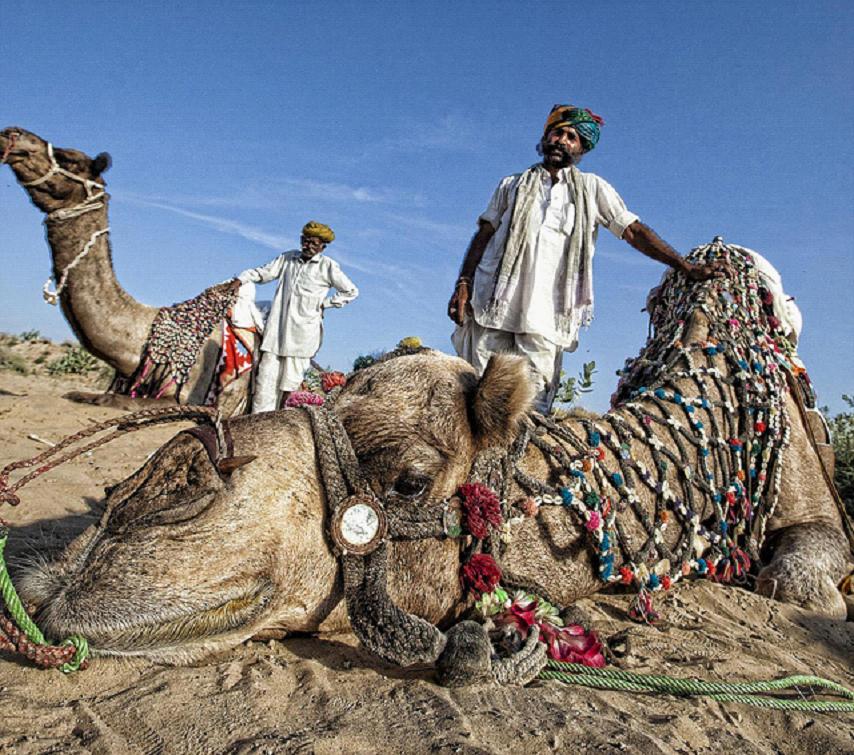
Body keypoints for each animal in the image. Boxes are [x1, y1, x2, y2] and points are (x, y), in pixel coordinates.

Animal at [0, 127, 254, 416]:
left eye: (68, 159)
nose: (11, 133)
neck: (140, 340)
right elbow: (79, 394)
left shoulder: (187, 397)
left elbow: (111, 400)